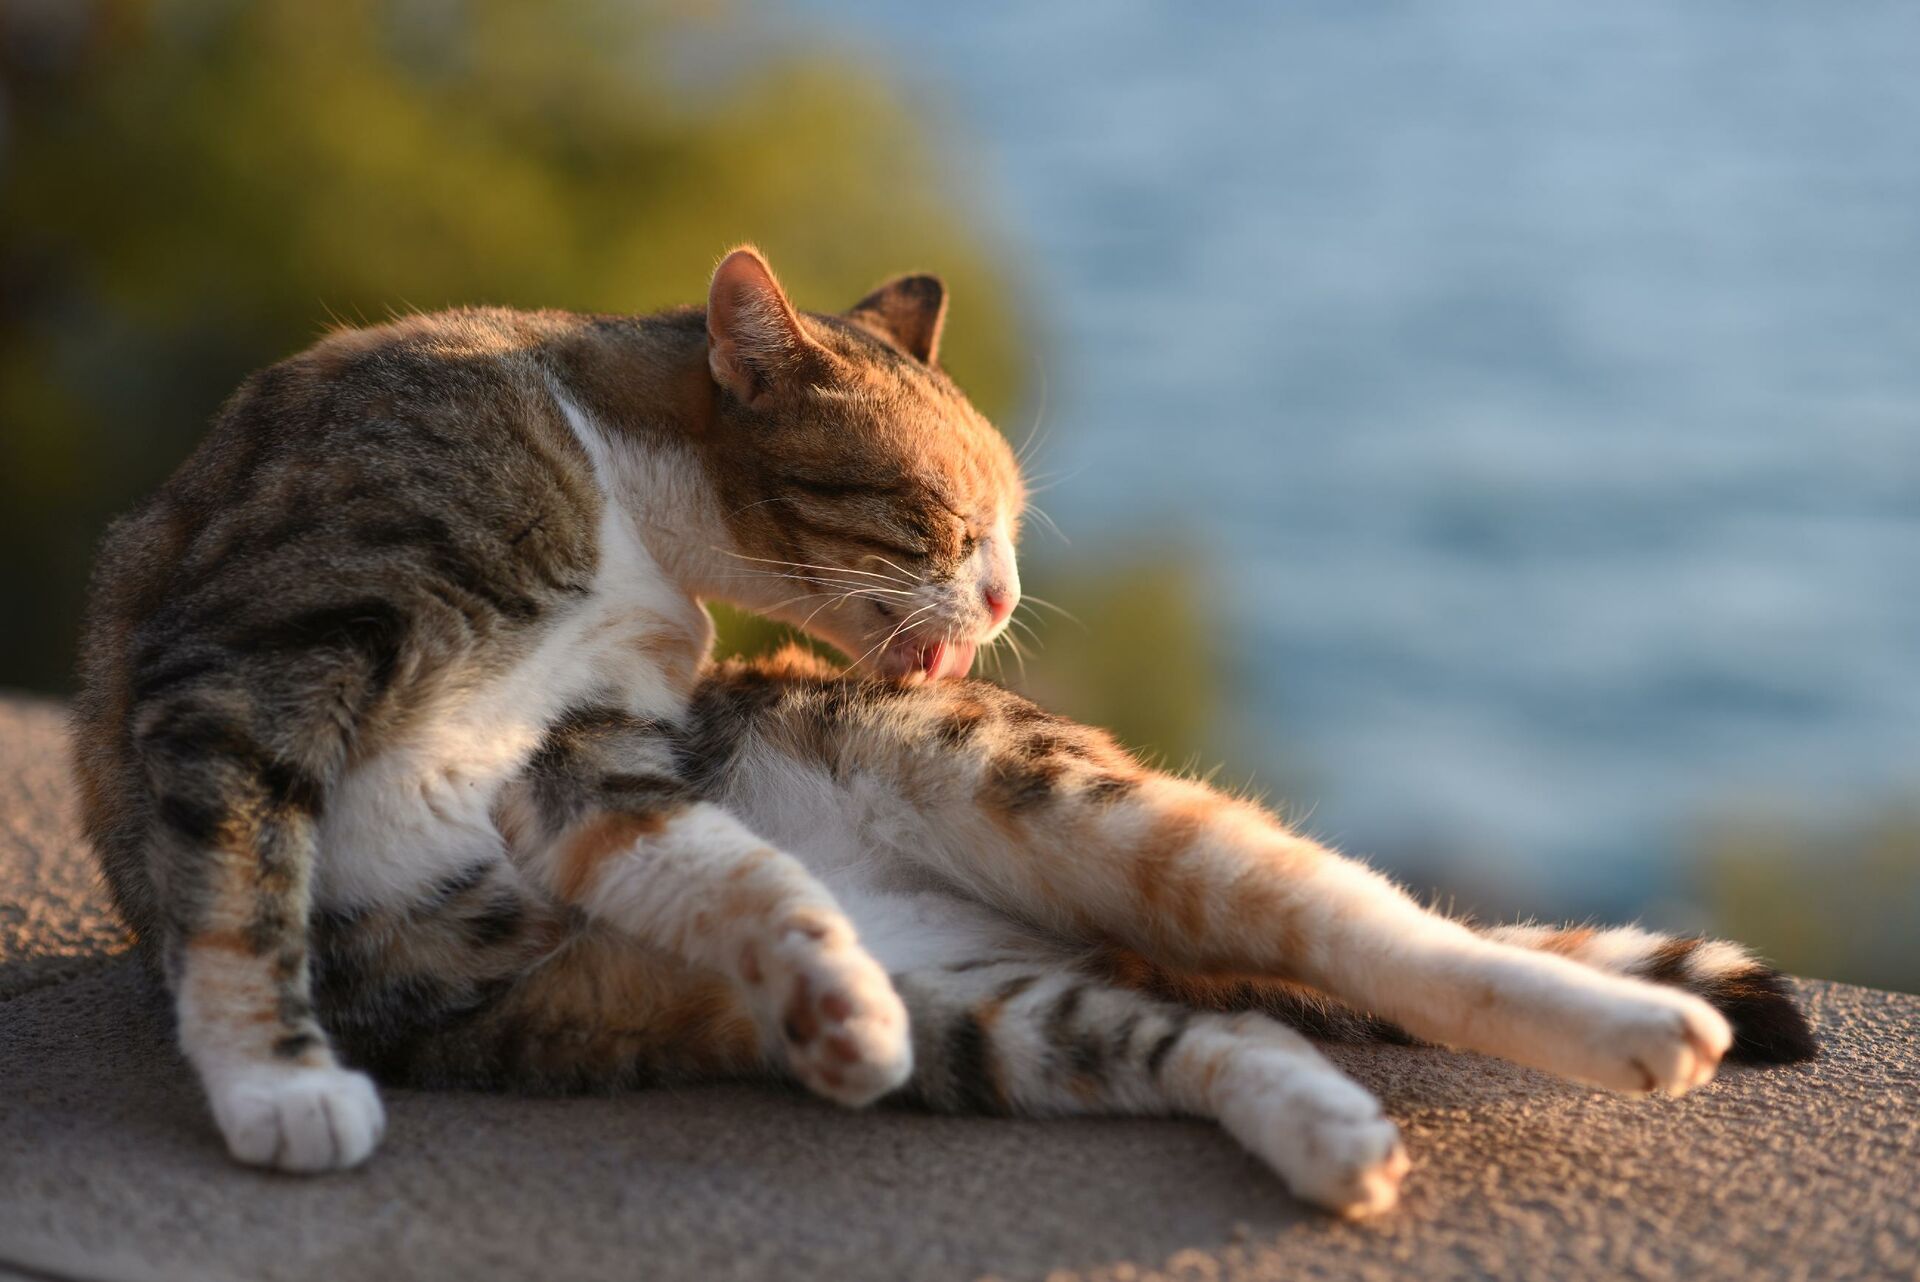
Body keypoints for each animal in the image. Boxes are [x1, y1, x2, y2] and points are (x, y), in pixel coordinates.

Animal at [74, 245, 1812, 1220]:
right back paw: (1330, 1136)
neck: (620, 497)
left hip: (1055, 796)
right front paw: (275, 1078)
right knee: (1227, 1032)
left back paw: (1638, 1029)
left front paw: (273, 1090)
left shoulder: (581, 746)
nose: (1007, 592)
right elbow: (239, 877)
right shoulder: (265, 651)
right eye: (946, 516)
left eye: (1007, 530)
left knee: (1380, 931)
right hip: (998, 1014)